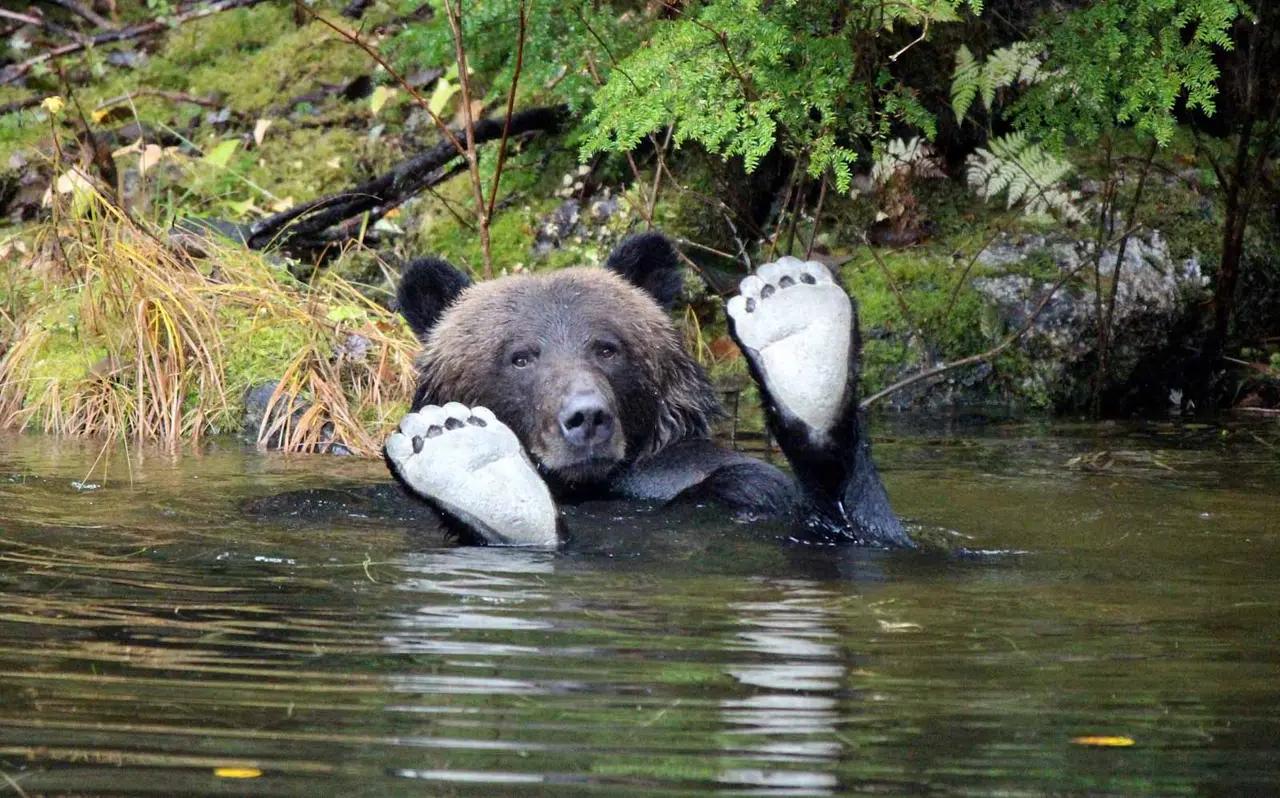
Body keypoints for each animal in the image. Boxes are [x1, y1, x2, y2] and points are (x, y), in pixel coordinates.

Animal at [384, 232, 913, 549]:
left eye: (606, 347)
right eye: (520, 356)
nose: (586, 417)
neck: (588, 486)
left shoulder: (720, 478)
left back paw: (796, 316)